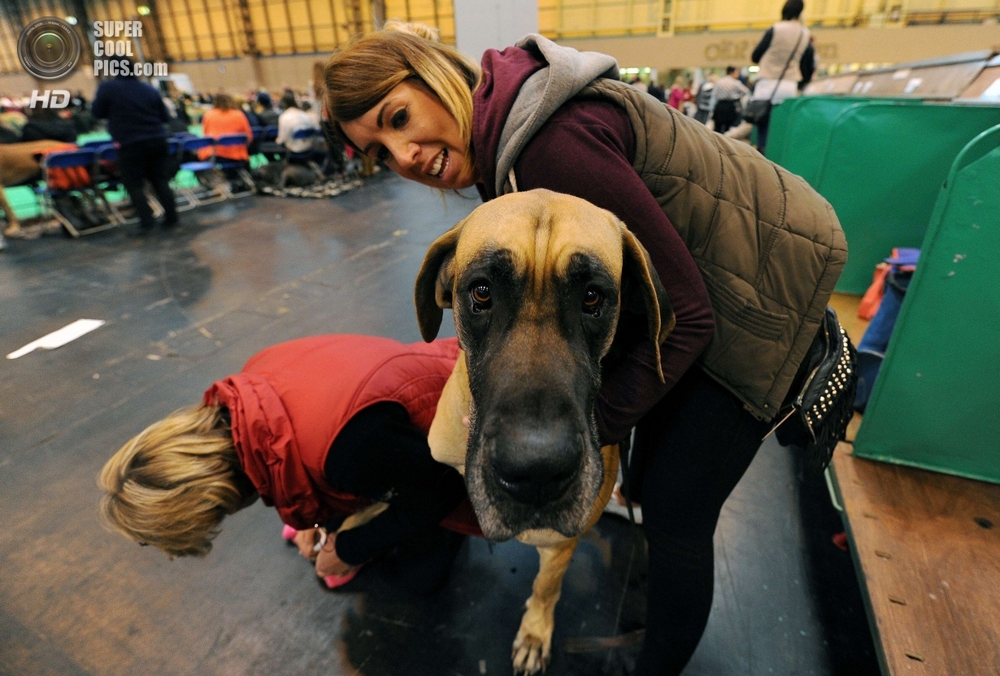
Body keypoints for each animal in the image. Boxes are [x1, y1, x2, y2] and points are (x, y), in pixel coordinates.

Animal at [410, 190, 676, 676]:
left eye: (592, 297)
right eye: (481, 292)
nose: (535, 471)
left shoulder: (560, 542)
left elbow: (546, 587)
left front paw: (535, 633)